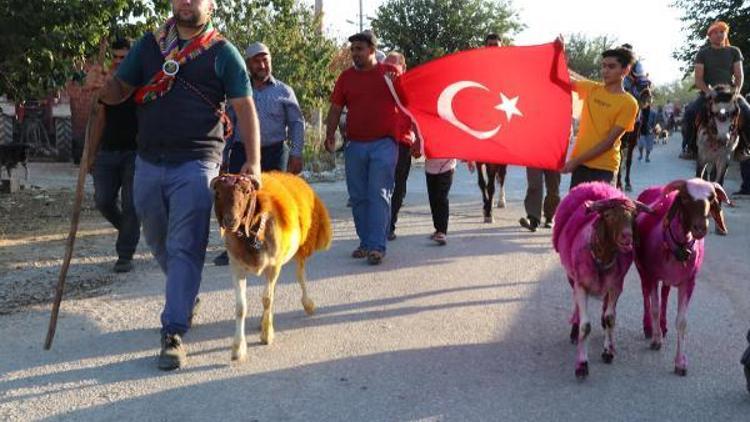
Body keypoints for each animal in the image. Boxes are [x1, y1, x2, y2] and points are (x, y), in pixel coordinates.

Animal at [552, 181, 652, 380]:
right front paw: (582, 364)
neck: (601, 258)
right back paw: (574, 331)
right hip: (571, 278)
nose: (627, 237)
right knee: (576, 307)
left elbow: (610, 318)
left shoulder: (615, 286)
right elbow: (585, 326)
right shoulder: (581, 286)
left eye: (633, 216)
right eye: (608, 216)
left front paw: (608, 352)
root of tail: (594, 184)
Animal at [636, 178, 732, 376]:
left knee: (665, 295)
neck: (678, 247)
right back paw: (649, 327)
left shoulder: (688, 282)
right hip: (642, 269)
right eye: (685, 198)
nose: (700, 228)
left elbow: (682, 322)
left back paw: (663, 325)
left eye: (711, 198)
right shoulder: (652, 275)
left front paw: (680, 363)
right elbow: (654, 307)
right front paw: (656, 340)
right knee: (645, 294)